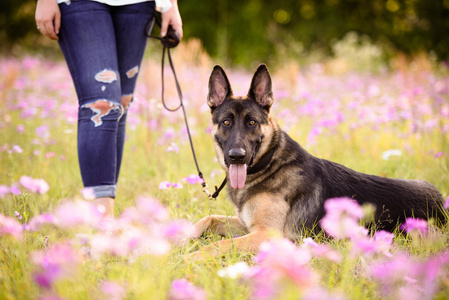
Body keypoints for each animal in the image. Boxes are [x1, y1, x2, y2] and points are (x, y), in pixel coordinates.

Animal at [186, 64, 444, 258]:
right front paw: (182, 236)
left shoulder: (267, 235)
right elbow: (208, 218)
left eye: (251, 122)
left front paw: (192, 257)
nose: (236, 155)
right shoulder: (246, 226)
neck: (269, 164)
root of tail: (442, 203)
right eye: (226, 122)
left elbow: (218, 244)